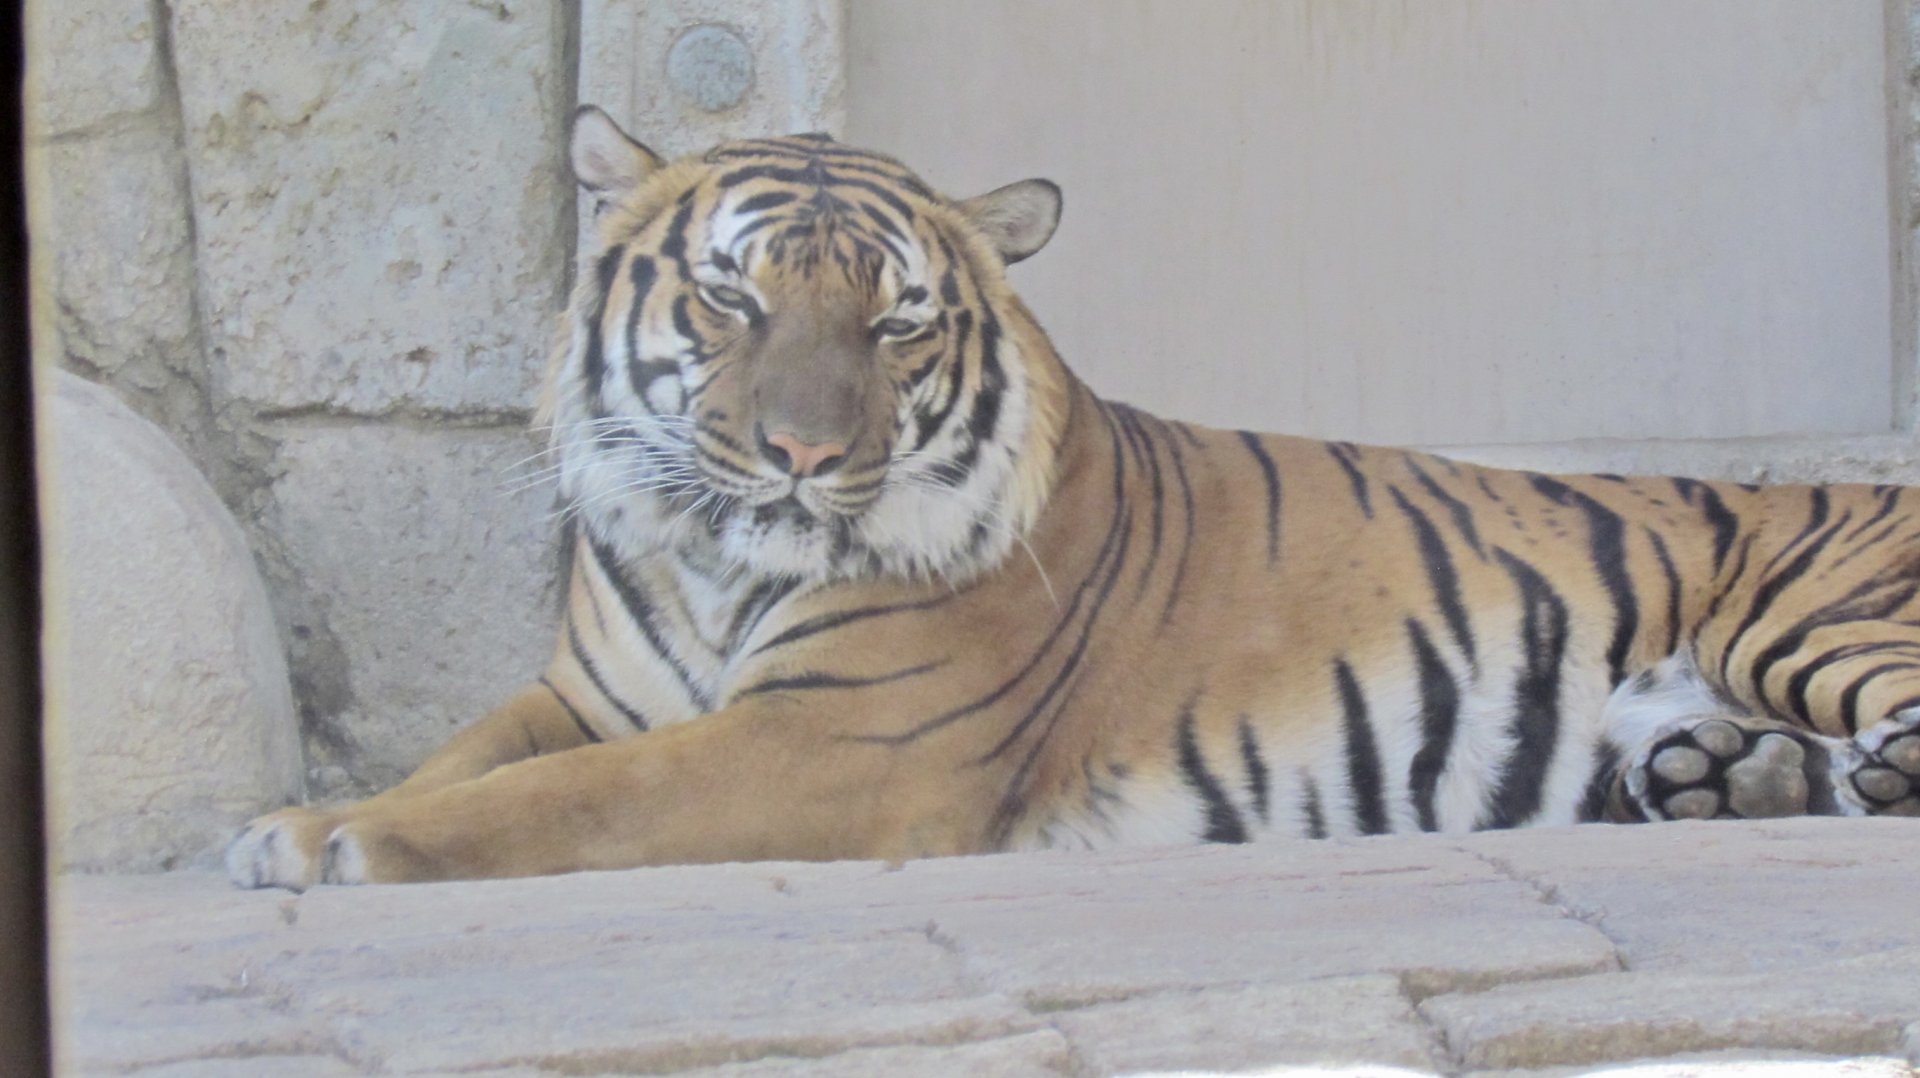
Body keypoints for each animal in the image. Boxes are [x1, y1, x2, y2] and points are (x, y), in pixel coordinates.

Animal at [227, 106, 1920, 889]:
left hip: (1815, 621)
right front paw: (293, 821)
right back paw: (1725, 781)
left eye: (894, 321)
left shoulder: (837, 740)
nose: (798, 455)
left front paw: (324, 840)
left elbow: (557, 801)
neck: (715, 564)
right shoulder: (585, 693)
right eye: (730, 298)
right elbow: (469, 759)